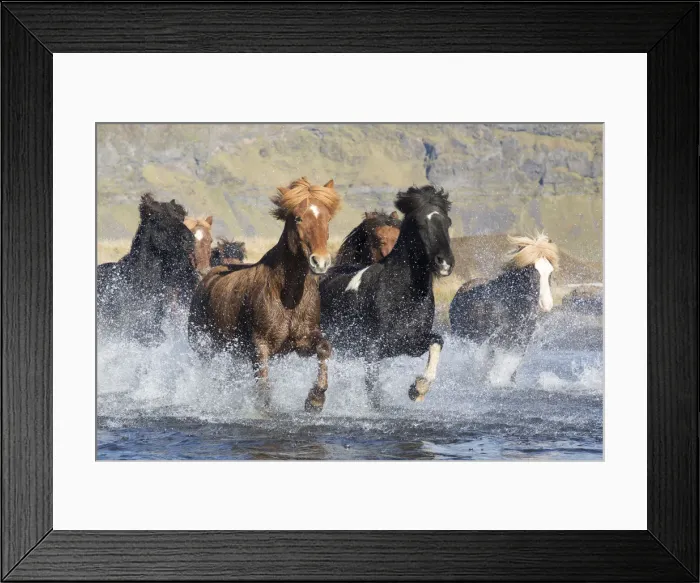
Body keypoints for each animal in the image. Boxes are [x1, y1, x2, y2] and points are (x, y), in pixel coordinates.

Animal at [188, 177, 341, 412]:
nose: (320, 262)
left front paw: (315, 399)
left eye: (327, 219)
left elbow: (324, 349)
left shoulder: (303, 342)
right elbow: (263, 386)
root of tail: (207, 277)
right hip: (204, 346)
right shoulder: (260, 345)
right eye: (298, 218)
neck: (287, 297)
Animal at [319, 185, 454, 407]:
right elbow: (373, 389)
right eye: (419, 222)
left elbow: (437, 341)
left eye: (447, 222)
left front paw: (418, 388)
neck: (402, 294)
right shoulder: (373, 348)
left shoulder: (409, 343)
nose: (445, 263)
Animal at [449, 232, 559, 385]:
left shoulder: (520, 342)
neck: (509, 306)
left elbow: (512, 366)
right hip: (464, 335)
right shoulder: (495, 341)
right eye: (532, 271)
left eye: (550, 272)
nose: (546, 304)